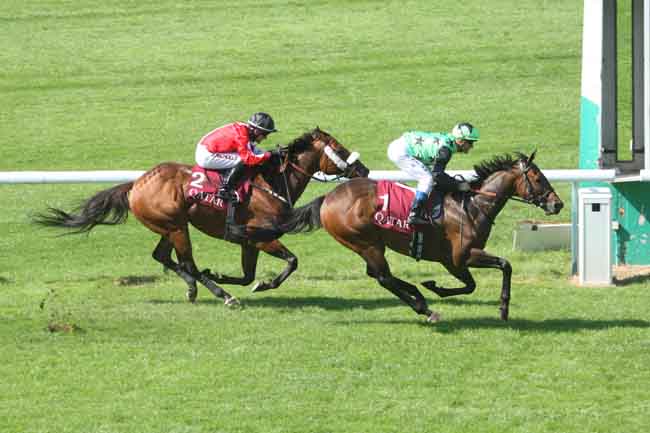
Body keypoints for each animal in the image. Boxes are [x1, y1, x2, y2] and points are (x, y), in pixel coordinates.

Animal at [35, 126, 368, 306]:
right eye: (339, 149)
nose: (363, 170)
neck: (272, 182)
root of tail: (137, 184)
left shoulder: (248, 241)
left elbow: (247, 275)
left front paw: (226, 275)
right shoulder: (261, 236)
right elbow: (291, 262)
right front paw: (259, 284)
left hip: (171, 226)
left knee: (163, 256)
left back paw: (194, 287)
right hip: (176, 227)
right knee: (187, 263)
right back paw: (222, 295)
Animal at [246, 151, 560, 320]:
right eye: (538, 178)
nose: (557, 204)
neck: (472, 206)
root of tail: (327, 198)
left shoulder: (453, 262)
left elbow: (470, 285)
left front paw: (435, 286)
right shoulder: (462, 256)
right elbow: (505, 265)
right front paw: (503, 308)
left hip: (368, 244)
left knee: (378, 275)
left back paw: (419, 294)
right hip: (365, 241)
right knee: (383, 277)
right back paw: (423, 306)